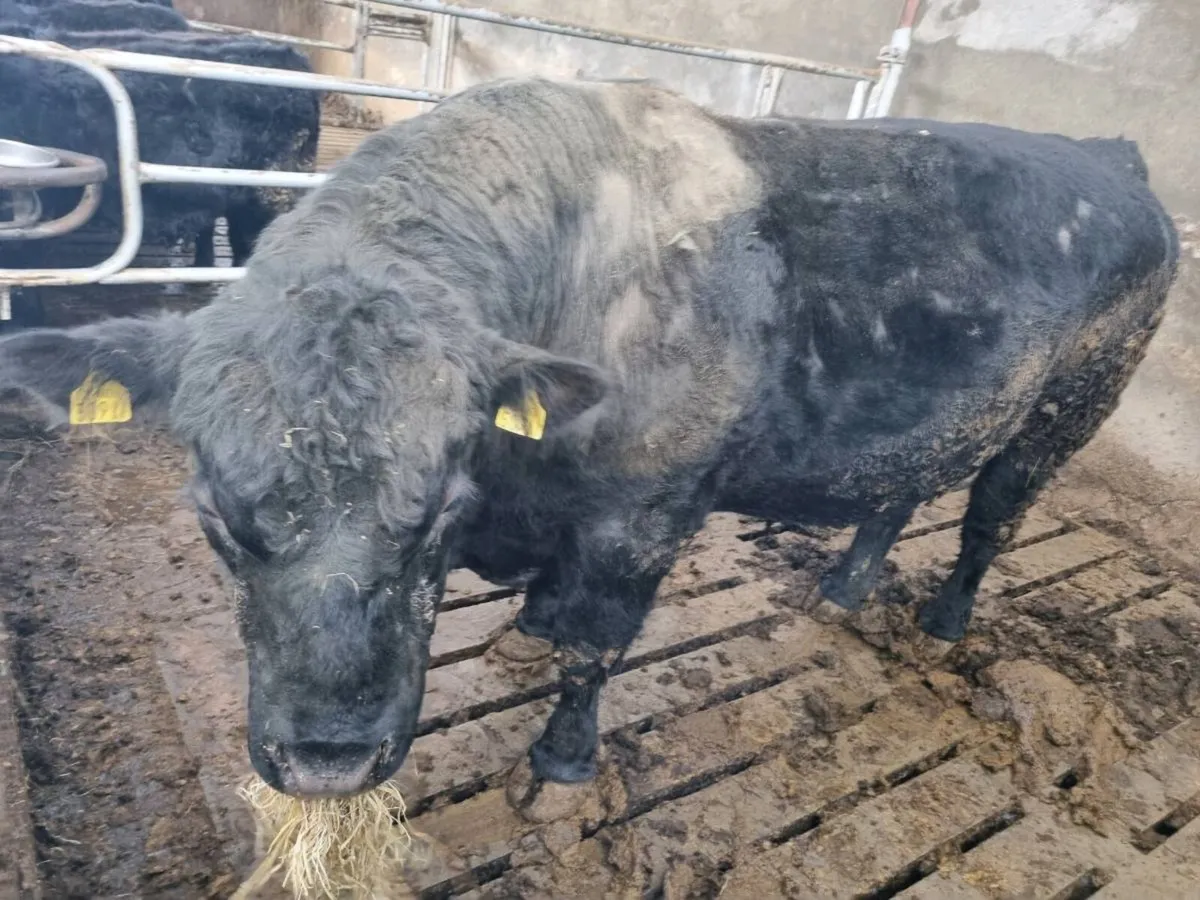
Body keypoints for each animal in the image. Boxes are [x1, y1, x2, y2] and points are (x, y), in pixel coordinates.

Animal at [0, 78, 1178, 816]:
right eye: (213, 519)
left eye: (438, 510)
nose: (329, 764)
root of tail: (1110, 157)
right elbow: (550, 618)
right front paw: (521, 639)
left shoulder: (643, 518)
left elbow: (594, 648)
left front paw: (558, 768)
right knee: (897, 493)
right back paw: (845, 590)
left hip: (1071, 406)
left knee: (989, 519)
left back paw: (942, 622)